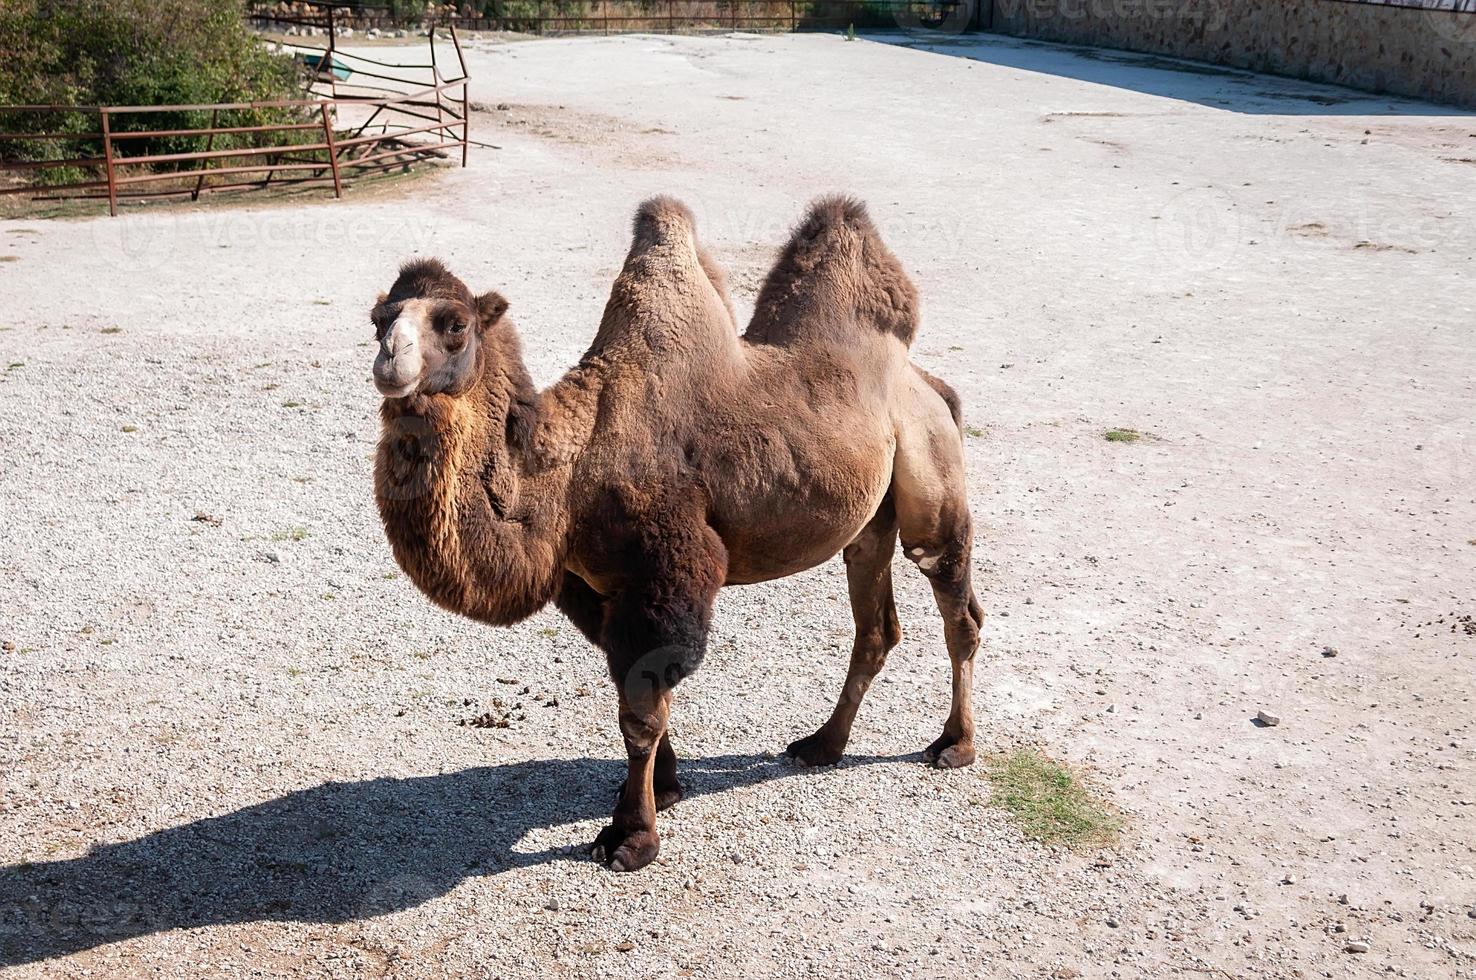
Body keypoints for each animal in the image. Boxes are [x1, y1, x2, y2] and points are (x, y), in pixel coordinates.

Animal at [374, 194, 985, 867]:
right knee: (875, 623)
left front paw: (630, 836)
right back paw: (823, 744)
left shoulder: (668, 575)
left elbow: (641, 713)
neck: (570, 472)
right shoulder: (596, 588)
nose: (389, 361)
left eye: (453, 323)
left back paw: (953, 744)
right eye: (378, 319)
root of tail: (929, 383)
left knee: (954, 600)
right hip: (869, 518)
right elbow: (637, 696)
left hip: (932, 465)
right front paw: (662, 789)